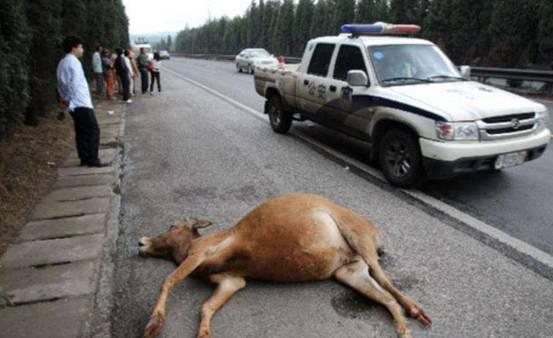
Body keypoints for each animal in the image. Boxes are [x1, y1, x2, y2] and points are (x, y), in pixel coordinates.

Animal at [139, 193, 432, 338]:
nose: (141, 241)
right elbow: (206, 307)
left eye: (172, 226)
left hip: (359, 238)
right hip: (348, 271)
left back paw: (417, 311)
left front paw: (154, 323)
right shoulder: (232, 280)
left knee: (386, 280)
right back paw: (404, 328)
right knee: (386, 297)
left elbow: (169, 280)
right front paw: (204, 333)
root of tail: (377, 233)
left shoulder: (200, 254)